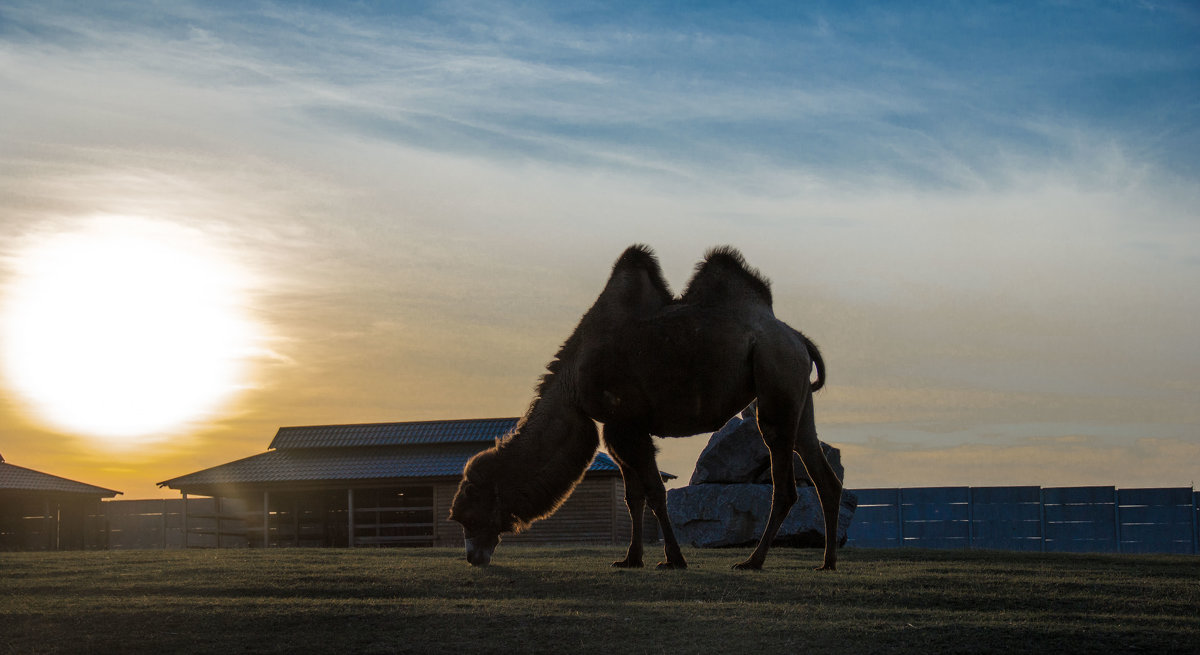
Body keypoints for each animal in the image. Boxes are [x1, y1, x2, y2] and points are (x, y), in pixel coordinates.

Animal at [451, 242, 844, 568]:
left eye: (468, 513)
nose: (473, 557)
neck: (573, 381)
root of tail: (799, 339)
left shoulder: (627, 423)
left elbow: (654, 492)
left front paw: (673, 559)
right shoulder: (617, 427)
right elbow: (632, 496)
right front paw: (631, 558)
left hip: (775, 373)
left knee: (784, 479)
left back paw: (753, 561)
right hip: (797, 394)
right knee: (821, 471)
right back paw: (827, 562)